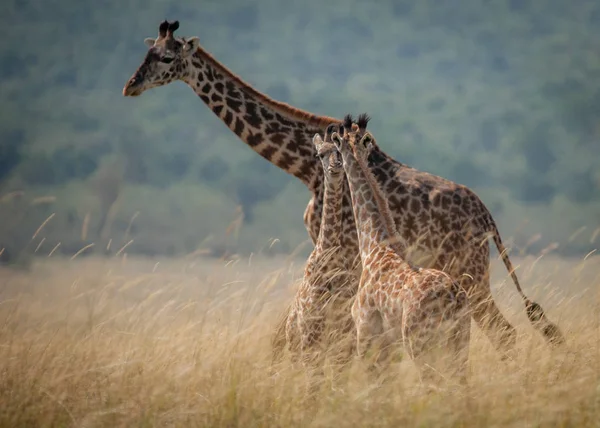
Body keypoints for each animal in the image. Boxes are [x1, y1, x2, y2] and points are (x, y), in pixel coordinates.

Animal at [282, 125, 356, 380]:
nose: (335, 167)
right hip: (298, 347)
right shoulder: (311, 338)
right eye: (319, 154)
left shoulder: (342, 338)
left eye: (340, 151)